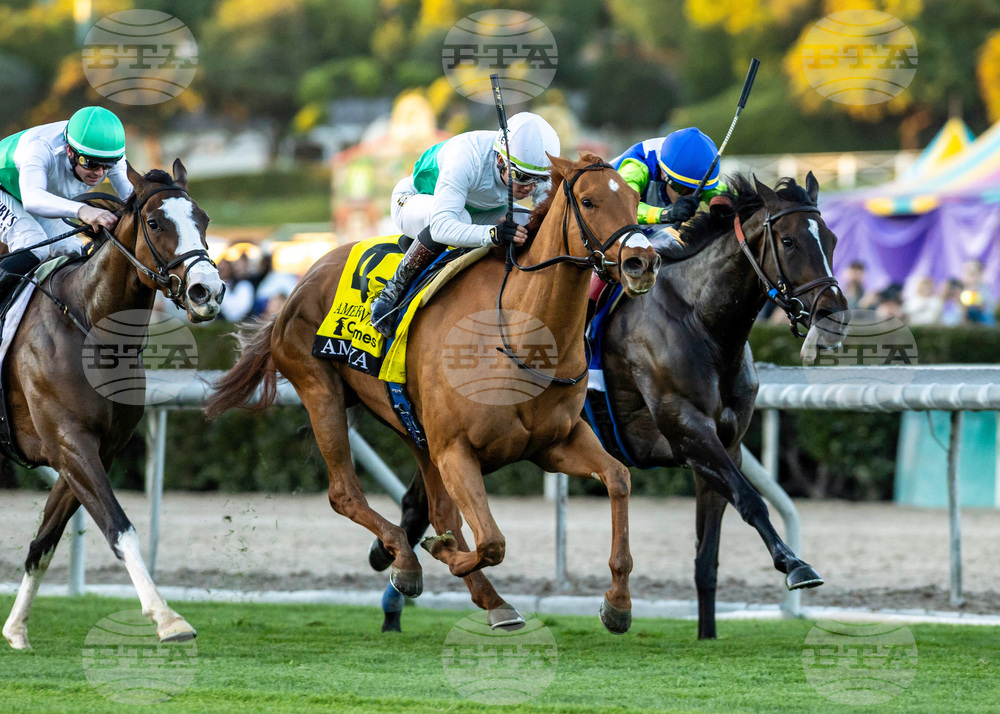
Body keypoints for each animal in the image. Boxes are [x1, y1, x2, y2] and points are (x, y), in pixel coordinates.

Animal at [2, 161, 225, 650]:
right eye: (155, 222)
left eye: (203, 219)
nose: (208, 291)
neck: (89, 326)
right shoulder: (71, 443)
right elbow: (120, 528)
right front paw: (168, 618)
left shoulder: (91, 452)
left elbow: (43, 544)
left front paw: (17, 630)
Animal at [205, 153, 660, 633]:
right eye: (588, 201)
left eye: (635, 201)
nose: (642, 262)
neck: (520, 336)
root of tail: (303, 279)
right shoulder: (456, 449)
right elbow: (492, 541)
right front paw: (432, 551)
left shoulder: (554, 443)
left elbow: (619, 479)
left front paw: (618, 602)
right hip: (321, 391)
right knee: (345, 492)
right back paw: (405, 558)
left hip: (409, 423)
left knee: (440, 509)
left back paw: (482, 594)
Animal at [369, 173, 849, 637]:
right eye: (788, 240)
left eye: (831, 239)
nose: (835, 315)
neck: (701, 322)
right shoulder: (688, 431)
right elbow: (751, 501)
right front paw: (796, 565)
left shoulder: (724, 446)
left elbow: (707, 557)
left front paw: (707, 634)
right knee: (421, 504)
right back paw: (397, 587)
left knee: (421, 503)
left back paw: (393, 570)